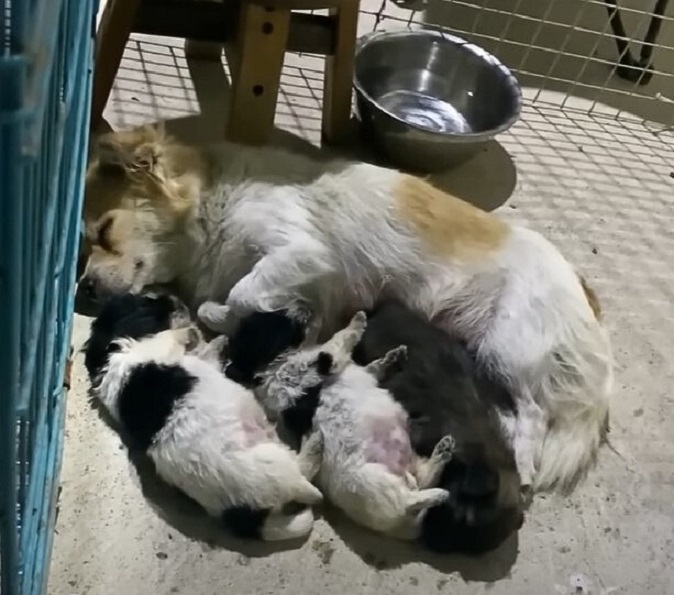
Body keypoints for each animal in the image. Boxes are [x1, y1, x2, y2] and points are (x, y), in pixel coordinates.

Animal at [81, 125, 612, 494]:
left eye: (104, 231)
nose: (83, 288)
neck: (212, 206)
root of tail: (584, 293)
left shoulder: (301, 253)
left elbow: (242, 296)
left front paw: (242, 315)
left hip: (506, 349)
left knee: (534, 415)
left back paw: (523, 466)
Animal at [82, 294, 324, 544]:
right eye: (150, 302)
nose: (176, 299)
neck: (111, 349)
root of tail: (244, 515)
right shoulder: (156, 347)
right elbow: (174, 337)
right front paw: (195, 332)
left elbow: (205, 351)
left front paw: (217, 339)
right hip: (272, 463)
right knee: (307, 484)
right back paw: (315, 443)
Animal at [255, 314, 454, 544]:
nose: (308, 315)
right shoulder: (325, 359)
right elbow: (343, 336)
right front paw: (358, 320)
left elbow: (372, 366)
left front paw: (393, 356)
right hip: (375, 481)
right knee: (410, 500)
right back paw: (439, 494)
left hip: (411, 464)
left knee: (424, 479)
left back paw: (442, 452)